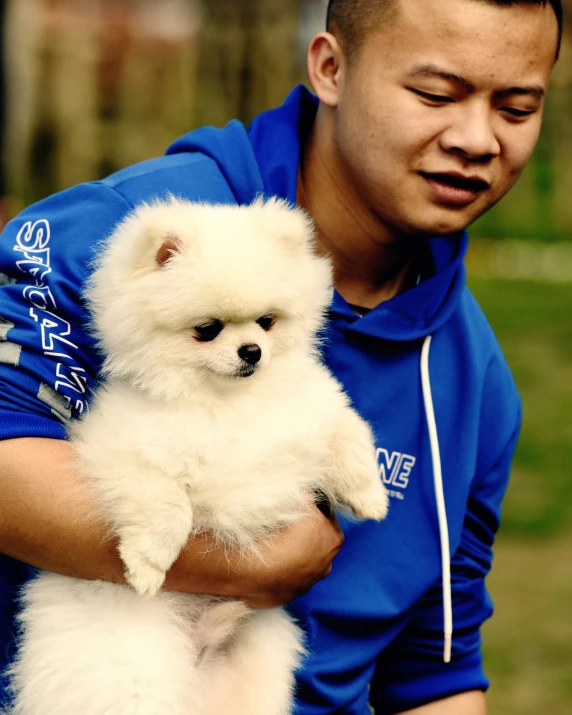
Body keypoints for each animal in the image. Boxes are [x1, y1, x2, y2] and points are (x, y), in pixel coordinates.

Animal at [5, 197, 388, 715]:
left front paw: (371, 498)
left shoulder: (312, 412)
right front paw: (148, 565)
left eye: (268, 322)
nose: (252, 351)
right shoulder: (122, 451)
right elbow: (167, 506)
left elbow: (348, 437)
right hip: (132, 675)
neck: (225, 401)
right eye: (207, 330)